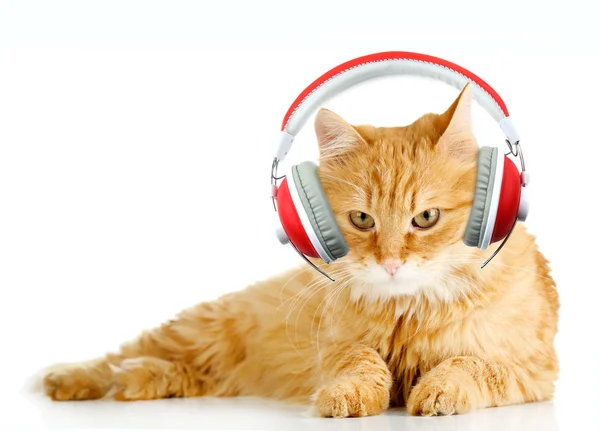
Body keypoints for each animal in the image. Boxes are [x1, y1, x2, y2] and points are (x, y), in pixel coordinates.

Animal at [41, 84, 556, 418]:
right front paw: (346, 397)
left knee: (165, 372)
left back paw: (135, 380)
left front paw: (436, 391)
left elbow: (468, 365)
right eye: (362, 220)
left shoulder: (529, 369)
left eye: (425, 218)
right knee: (118, 356)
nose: (390, 263)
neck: (409, 311)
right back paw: (68, 379)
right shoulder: (338, 348)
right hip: (195, 330)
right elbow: (363, 366)